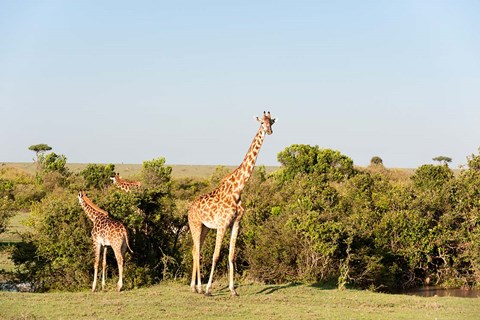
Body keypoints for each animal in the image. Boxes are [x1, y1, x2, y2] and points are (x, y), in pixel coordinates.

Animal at [188, 111, 278, 296]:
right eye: (261, 122)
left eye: (271, 122)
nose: (269, 131)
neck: (237, 191)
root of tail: (189, 209)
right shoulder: (222, 225)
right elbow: (216, 256)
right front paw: (208, 289)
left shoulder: (236, 223)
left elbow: (231, 255)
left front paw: (233, 290)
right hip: (195, 224)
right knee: (197, 251)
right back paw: (199, 287)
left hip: (205, 228)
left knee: (194, 250)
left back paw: (194, 287)